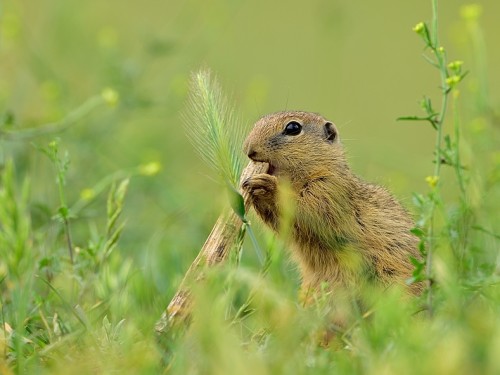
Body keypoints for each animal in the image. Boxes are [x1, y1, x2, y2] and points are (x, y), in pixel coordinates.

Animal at [242, 111, 422, 300]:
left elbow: (306, 209)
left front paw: (266, 186)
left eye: (293, 128)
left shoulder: (328, 189)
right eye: (258, 122)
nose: (248, 149)